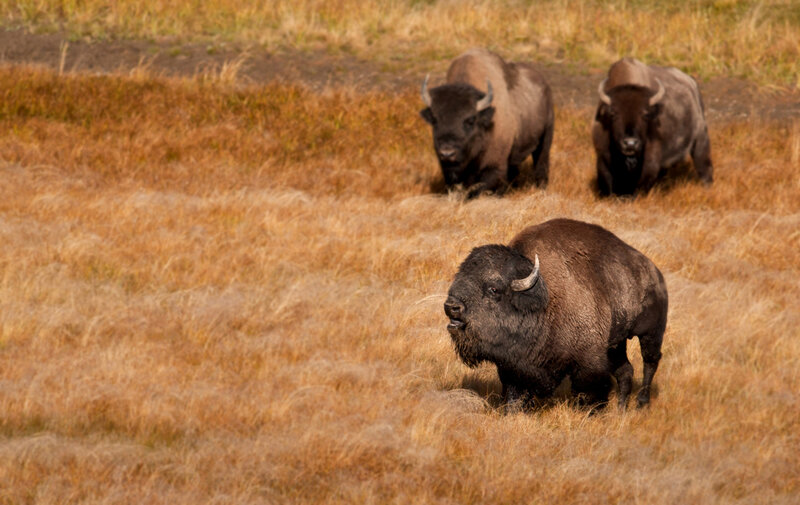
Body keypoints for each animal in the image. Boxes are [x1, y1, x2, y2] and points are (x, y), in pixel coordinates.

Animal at [421, 48, 554, 198]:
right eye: (434, 120)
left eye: (470, 120)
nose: (447, 153)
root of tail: (544, 85)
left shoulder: (494, 167)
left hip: (545, 138)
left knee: (541, 165)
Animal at [444, 218, 668, 409]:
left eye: (493, 289)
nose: (451, 306)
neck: (544, 300)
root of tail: (655, 273)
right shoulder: (513, 368)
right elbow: (513, 395)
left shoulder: (589, 362)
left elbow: (591, 391)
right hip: (617, 344)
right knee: (626, 372)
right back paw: (621, 410)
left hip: (651, 333)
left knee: (650, 362)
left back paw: (642, 404)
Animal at [592, 57, 713, 196]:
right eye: (613, 114)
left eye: (645, 114)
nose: (630, 143)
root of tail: (692, 83)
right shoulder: (602, 158)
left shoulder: (650, 161)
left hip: (700, 140)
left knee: (704, 165)